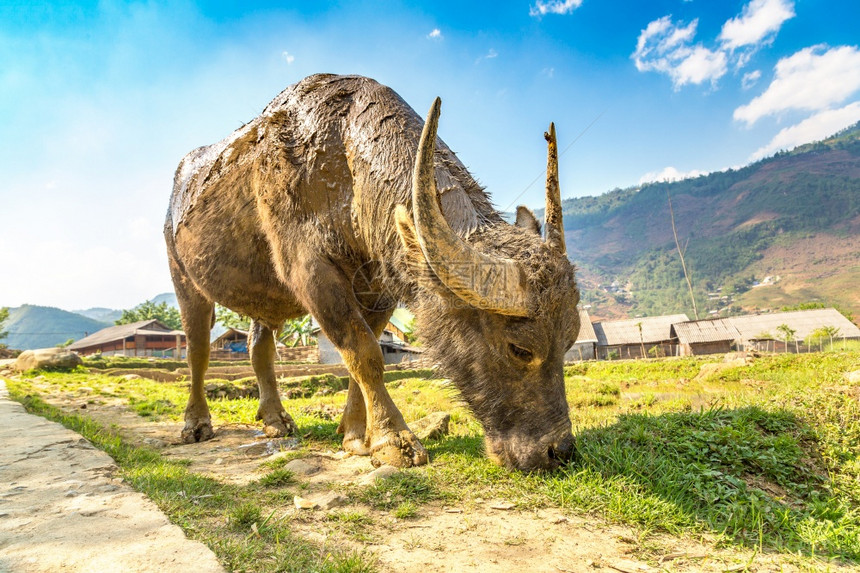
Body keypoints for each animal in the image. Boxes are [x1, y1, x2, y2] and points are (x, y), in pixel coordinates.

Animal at [165, 75, 580, 470]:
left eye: (568, 342)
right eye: (520, 349)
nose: (559, 452)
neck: (343, 166)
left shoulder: (380, 288)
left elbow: (362, 357)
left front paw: (355, 433)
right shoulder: (312, 274)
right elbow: (363, 353)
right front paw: (394, 440)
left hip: (261, 296)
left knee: (259, 348)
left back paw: (275, 420)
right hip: (183, 279)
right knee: (198, 349)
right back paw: (196, 423)